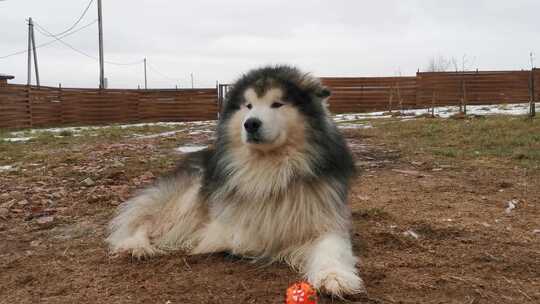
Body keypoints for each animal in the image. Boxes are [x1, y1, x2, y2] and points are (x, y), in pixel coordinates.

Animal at [106, 65, 362, 296]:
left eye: (277, 104)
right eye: (248, 106)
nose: (250, 123)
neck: (269, 166)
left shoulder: (325, 221)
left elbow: (332, 248)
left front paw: (334, 276)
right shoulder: (239, 227)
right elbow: (246, 238)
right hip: (187, 197)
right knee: (146, 222)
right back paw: (137, 245)